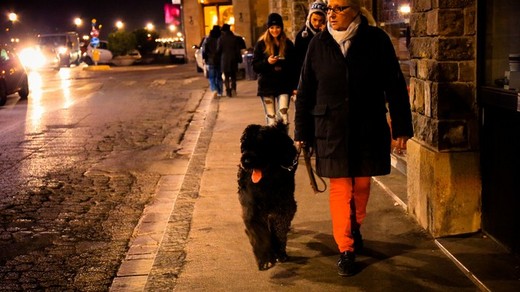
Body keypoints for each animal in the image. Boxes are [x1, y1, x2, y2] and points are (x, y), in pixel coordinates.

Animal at [238, 120, 298, 270]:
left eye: (261, 145)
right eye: (244, 146)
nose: (246, 161)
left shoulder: (284, 207)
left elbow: (279, 230)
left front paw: (279, 252)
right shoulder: (252, 208)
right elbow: (258, 232)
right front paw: (265, 258)